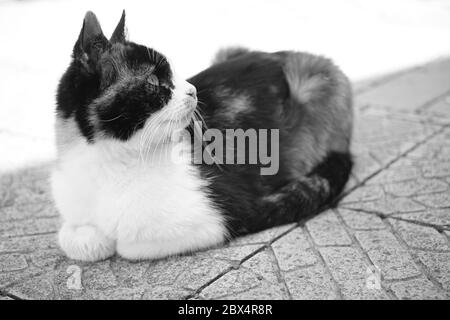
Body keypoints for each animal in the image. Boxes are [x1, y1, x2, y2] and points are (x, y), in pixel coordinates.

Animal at [51, 10, 352, 262]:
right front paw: (92, 238)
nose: (192, 90)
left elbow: (129, 246)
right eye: (153, 81)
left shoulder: (216, 218)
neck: (109, 164)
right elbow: (72, 238)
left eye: (174, 74)